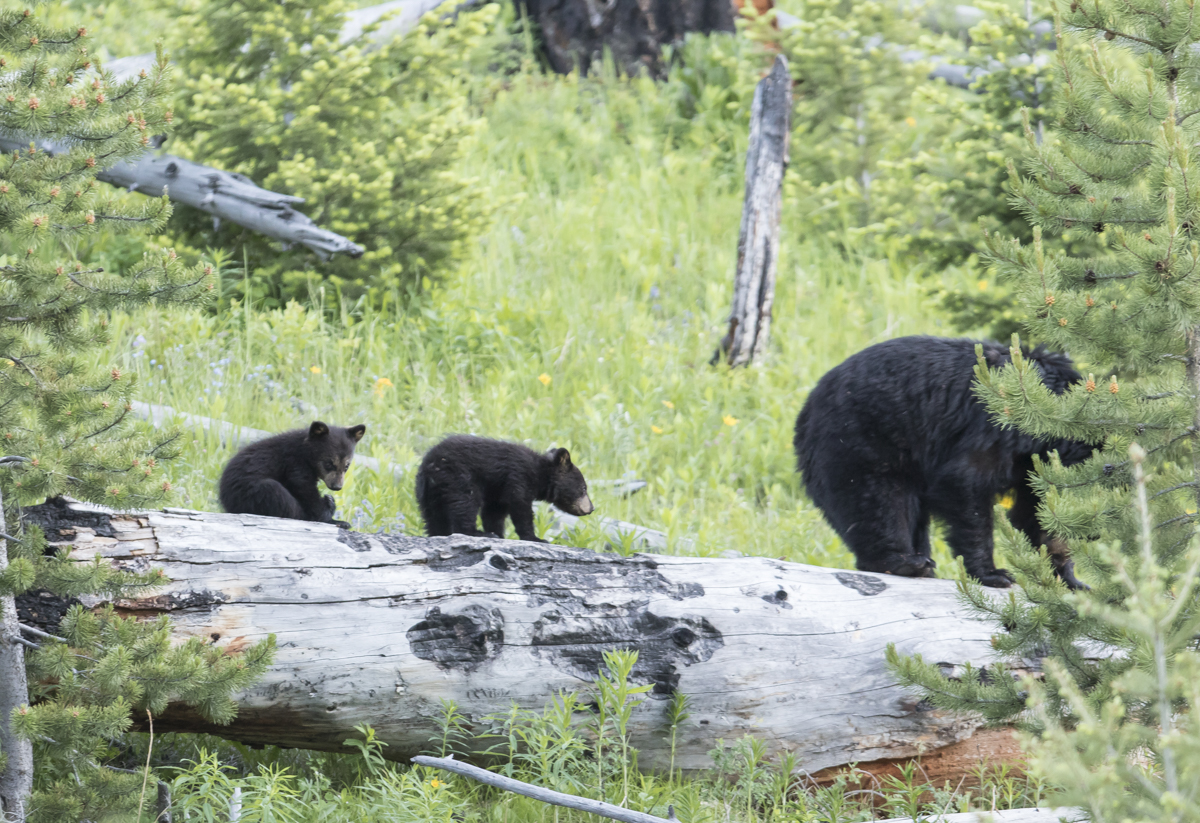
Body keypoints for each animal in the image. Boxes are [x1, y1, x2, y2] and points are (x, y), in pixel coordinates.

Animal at [218, 421, 366, 527]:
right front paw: (333, 519)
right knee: (274, 491)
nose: (337, 487)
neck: (305, 452)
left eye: (347, 465)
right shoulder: (294, 462)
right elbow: (303, 486)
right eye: (329, 463)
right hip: (247, 494)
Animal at [415, 435, 595, 542]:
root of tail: (430, 464)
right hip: (459, 478)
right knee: (465, 504)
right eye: (583, 488)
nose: (592, 508)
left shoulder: (497, 491)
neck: (539, 472)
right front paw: (535, 538)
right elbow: (520, 506)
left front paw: (499, 533)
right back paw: (477, 533)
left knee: (433, 516)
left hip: (428, 492)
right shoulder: (518, 476)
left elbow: (494, 513)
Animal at [793, 336, 1094, 589]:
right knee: (877, 503)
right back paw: (905, 562)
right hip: (858, 442)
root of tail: (804, 412)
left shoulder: (1033, 467)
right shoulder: (996, 427)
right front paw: (992, 573)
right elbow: (964, 482)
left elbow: (1035, 512)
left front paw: (1070, 579)